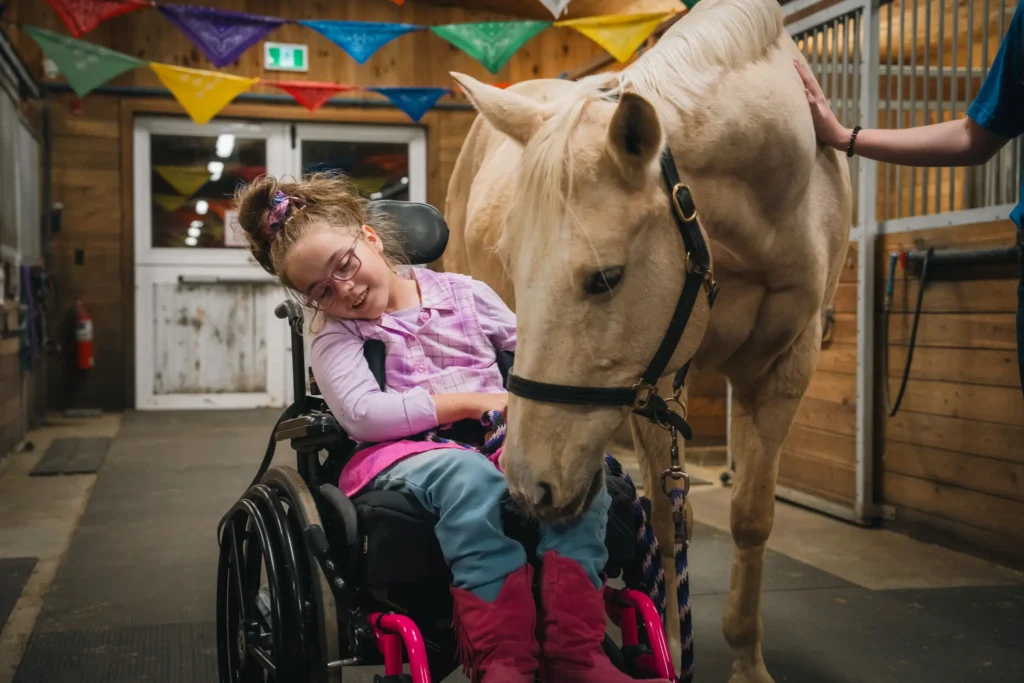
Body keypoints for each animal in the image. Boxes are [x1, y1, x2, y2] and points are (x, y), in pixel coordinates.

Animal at [444, 0, 851, 679]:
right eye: (514, 264)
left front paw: (746, 659)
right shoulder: (657, 382)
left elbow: (751, 518)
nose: (527, 485)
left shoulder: (784, 368)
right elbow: (666, 517)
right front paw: (669, 634)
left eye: (606, 277)